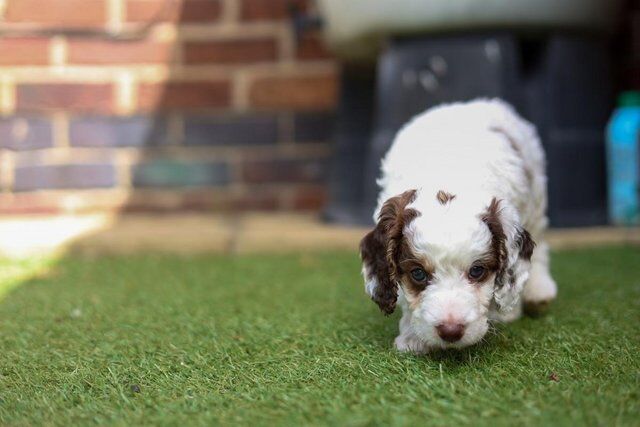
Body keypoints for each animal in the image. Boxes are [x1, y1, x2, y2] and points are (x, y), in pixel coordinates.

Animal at [362, 100, 556, 354]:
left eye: (477, 271)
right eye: (418, 273)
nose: (451, 331)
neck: (449, 175)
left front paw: (507, 312)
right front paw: (414, 337)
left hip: (537, 196)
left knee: (540, 244)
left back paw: (539, 291)